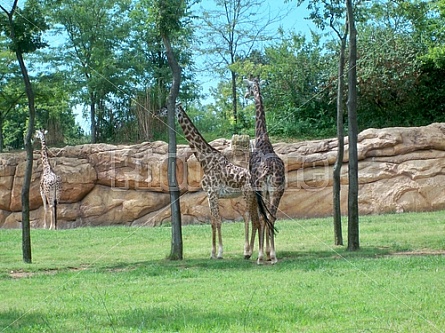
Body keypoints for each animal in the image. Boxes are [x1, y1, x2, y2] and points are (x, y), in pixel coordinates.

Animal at [173, 102, 268, 258]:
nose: (158, 112)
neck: (205, 162)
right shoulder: (210, 195)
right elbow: (213, 221)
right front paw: (212, 253)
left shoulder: (212, 193)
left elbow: (217, 221)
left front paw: (219, 253)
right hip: (255, 197)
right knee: (258, 220)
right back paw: (257, 251)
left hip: (247, 194)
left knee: (247, 216)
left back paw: (247, 251)